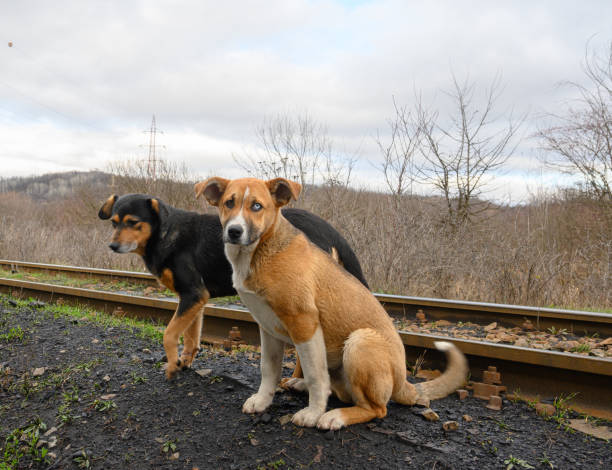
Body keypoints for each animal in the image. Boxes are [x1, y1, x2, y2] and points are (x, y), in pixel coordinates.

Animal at [98, 193, 368, 380]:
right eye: (114, 223)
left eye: (133, 222)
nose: (112, 246)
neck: (164, 233)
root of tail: (329, 229)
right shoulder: (195, 299)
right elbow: (191, 335)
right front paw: (185, 361)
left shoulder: (192, 294)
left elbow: (169, 334)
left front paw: (172, 366)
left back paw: (296, 381)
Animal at [198, 176, 466, 430]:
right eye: (228, 203)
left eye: (257, 206)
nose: (234, 231)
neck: (262, 250)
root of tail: (404, 383)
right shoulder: (267, 328)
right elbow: (269, 370)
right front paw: (263, 401)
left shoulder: (305, 323)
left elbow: (316, 376)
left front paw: (312, 413)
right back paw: (301, 385)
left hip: (359, 341)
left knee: (376, 409)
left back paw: (335, 416)